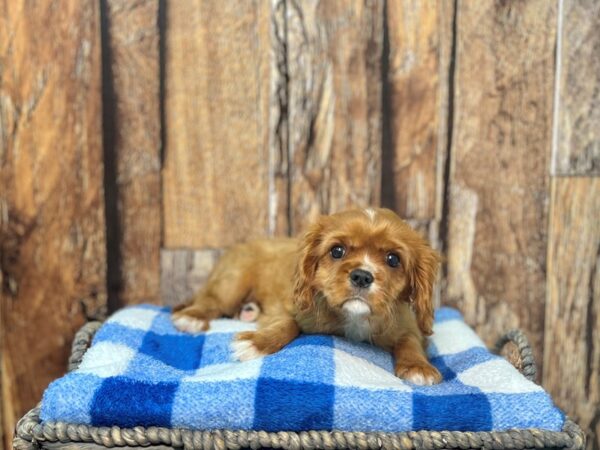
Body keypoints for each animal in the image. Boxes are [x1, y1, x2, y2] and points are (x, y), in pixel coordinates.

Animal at [171, 208, 442, 386]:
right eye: (337, 251)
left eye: (393, 259)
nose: (362, 276)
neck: (353, 318)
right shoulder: (291, 308)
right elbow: (287, 324)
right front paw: (257, 343)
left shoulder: (407, 324)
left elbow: (410, 341)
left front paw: (418, 367)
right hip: (233, 281)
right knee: (211, 302)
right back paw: (193, 318)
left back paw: (247, 311)